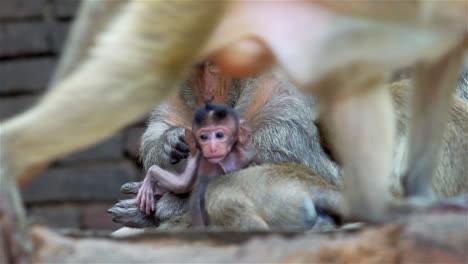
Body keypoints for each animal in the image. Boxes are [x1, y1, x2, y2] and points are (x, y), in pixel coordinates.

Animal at [0, 0, 468, 262]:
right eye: (202, 66)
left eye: (217, 63)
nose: (208, 104)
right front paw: (170, 146)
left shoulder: (287, 102)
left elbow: (307, 164)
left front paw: (164, 206)